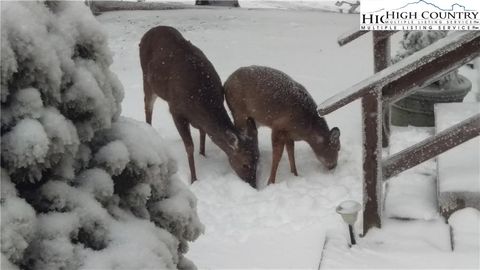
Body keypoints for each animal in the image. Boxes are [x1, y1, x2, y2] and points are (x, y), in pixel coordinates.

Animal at [139, 26, 258, 188]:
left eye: (258, 160)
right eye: (245, 164)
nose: (254, 185)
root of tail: (149, 31)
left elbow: (203, 132)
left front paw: (203, 155)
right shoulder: (176, 110)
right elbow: (189, 146)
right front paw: (194, 179)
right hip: (147, 79)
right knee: (147, 106)